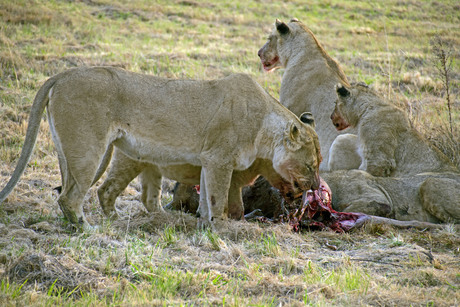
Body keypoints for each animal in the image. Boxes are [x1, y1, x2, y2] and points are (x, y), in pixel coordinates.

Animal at [0, 67, 322, 229]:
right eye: (310, 165)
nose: (316, 187)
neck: (265, 127)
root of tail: (61, 75)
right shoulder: (219, 160)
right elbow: (219, 199)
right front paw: (222, 228)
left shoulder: (209, 161)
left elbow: (206, 197)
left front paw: (204, 224)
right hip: (87, 148)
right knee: (70, 197)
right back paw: (87, 228)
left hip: (67, 152)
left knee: (76, 191)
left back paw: (114, 221)